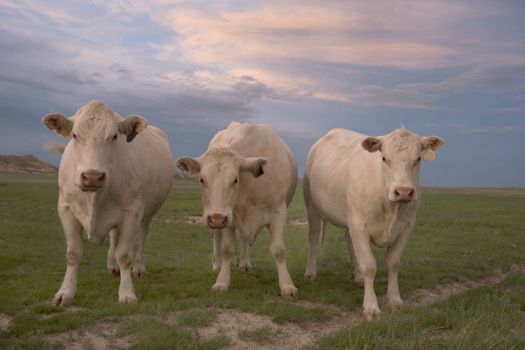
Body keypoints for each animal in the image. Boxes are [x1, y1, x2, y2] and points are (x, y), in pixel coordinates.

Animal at [42, 100, 174, 304]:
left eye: (114, 136)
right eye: (74, 135)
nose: (92, 176)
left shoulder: (132, 211)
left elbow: (124, 254)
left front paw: (127, 292)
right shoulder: (66, 209)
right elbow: (73, 253)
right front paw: (65, 292)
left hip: (147, 213)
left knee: (141, 237)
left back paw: (138, 267)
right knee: (114, 235)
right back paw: (112, 266)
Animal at [176, 121, 298, 296]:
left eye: (235, 179)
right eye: (201, 180)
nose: (216, 219)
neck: (251, 186)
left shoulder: (279, 212)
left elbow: (278, 250)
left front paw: (287, 285)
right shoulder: (229, 217)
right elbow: (228, 249)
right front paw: (222, 281)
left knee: (244, 238)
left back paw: (244, 263)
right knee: (217, 237)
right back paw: (217, 264)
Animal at [302, 127, 442, 318]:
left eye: (418, 159)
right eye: (384, 158)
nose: (403, 191)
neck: (391, 208)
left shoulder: (407, 225)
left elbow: (393, 262)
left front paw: (395, 300)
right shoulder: (360, 225)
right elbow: (369, 265)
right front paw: (371, 307)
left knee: (349, 242)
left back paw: (358, 277)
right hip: (313, 207)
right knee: (314, 237)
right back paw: (310, 273)